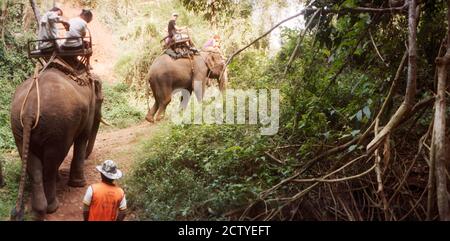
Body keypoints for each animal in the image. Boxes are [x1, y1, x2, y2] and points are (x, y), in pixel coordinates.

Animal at [9, 68, 104, 220]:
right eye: (101, 100)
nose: (88, 157)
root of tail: (30, 109)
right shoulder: (88, 108)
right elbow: (83, 136)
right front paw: (79, 184)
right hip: (58, 126)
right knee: (52, 162)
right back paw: (52, 207)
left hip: (18, 125)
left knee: (32, 163)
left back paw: (39, 210)